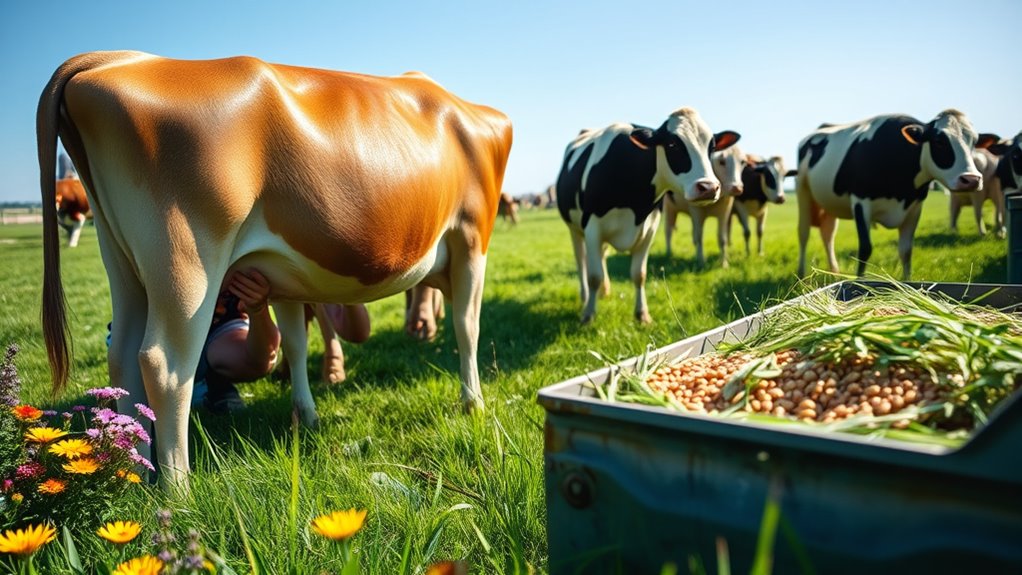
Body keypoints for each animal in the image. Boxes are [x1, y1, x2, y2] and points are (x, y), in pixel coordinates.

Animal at [38, 51, 512, 486]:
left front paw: (306, 416)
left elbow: (296, 343)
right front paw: (473, 403)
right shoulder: (472, 238)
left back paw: (134, 475)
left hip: (124, 260)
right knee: (166, 366)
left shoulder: (284, 277)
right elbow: (467, 326)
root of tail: (117, 61)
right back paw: (178, 491)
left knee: (123, 358)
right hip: (185, 258)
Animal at [555, 108, 739, 323]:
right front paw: (588, 315)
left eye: (712, 147)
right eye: (672, 144)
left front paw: (642, 314)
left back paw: (605, 291)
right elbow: (593, 275)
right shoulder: (592, 228)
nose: (709, 187)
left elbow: (639, 274)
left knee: (601, 256)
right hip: (575, 229)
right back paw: (585, 297)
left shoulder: (649, 229)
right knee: (581, 260)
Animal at [795, 110, 995, 280]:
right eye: (939, 141)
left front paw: (907, 285)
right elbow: (865, 249)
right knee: (804, 235)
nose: (971, 179)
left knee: (828, 235)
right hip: (803, 192)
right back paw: (802, 275)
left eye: (974, 142)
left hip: (828, 204)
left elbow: (906, 250)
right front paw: (859, 282)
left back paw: (834, 272)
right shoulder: (861, 202)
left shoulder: (915, 207)